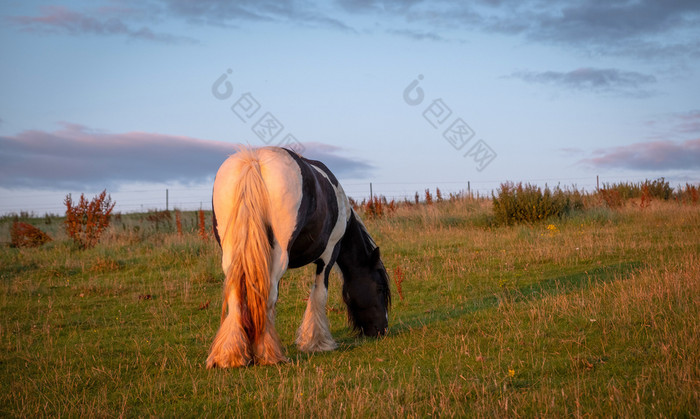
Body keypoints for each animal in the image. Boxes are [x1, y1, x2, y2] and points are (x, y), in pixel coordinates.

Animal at [206, 147, 394, 368]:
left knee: (236, 293)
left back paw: (232, 355)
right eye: (379, 288)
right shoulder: (329, 254)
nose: (382, 329)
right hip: (279, 256)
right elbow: (319, 295)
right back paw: (268, 354)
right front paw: (317, 343)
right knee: (268, 294)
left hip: (232, 256)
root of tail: (254, 161)